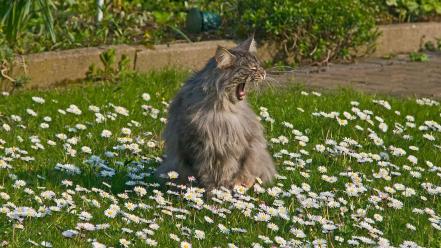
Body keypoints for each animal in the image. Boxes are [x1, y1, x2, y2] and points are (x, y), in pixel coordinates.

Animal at [156, 36, 276, 192]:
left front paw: (223, 191)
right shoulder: (199, 146)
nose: (264, 73)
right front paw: (212, 192)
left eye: (260, 66)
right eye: (253, 68)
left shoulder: (233, 146)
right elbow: (206, 174)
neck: (219, 111)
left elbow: (229, 171)